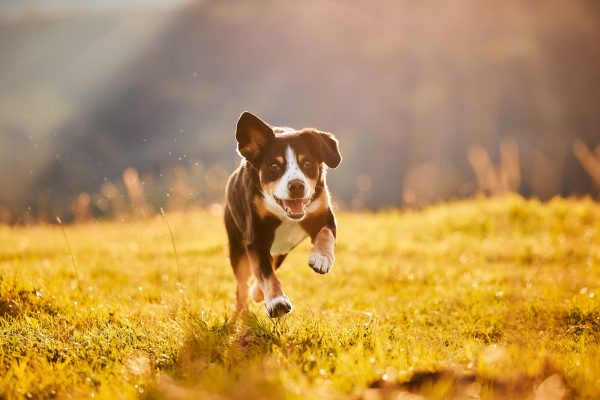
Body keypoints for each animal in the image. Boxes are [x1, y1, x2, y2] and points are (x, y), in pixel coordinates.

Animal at [224, 111, 340, 318]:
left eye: (307, 163)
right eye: (274, 166)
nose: (296, 186)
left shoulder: (324, 214)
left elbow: (325, 234)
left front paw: (321, 259)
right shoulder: (257, 238)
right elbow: (266, 273)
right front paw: (277, 302)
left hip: (281, 250)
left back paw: (257, 293)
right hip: (237, 246)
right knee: (242, 284)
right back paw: (242, 311)